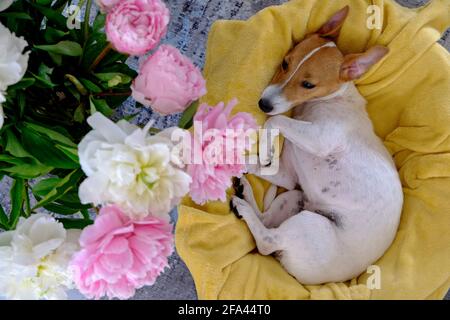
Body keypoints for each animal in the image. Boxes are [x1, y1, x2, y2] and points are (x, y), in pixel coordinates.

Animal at [230, 6, 402, 284]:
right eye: (285, 62)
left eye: (308, 85)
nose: (263, 104)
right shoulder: (289, 177)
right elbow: (260, 157)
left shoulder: (321, 138)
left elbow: (276, 120)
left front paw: (266, 148)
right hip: (295, 197)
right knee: (266, 220)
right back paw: (244, 193)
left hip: (309, 225)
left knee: (267, 240)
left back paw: (243, 207)